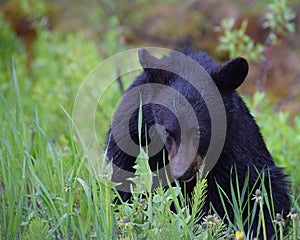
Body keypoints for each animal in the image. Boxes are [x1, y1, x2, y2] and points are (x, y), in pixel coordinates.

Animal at [106, 47, 290, 238]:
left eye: (200, 131)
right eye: (166, 131)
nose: (182, 172)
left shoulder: (237, 143)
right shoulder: (132, 129)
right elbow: (123, 177)